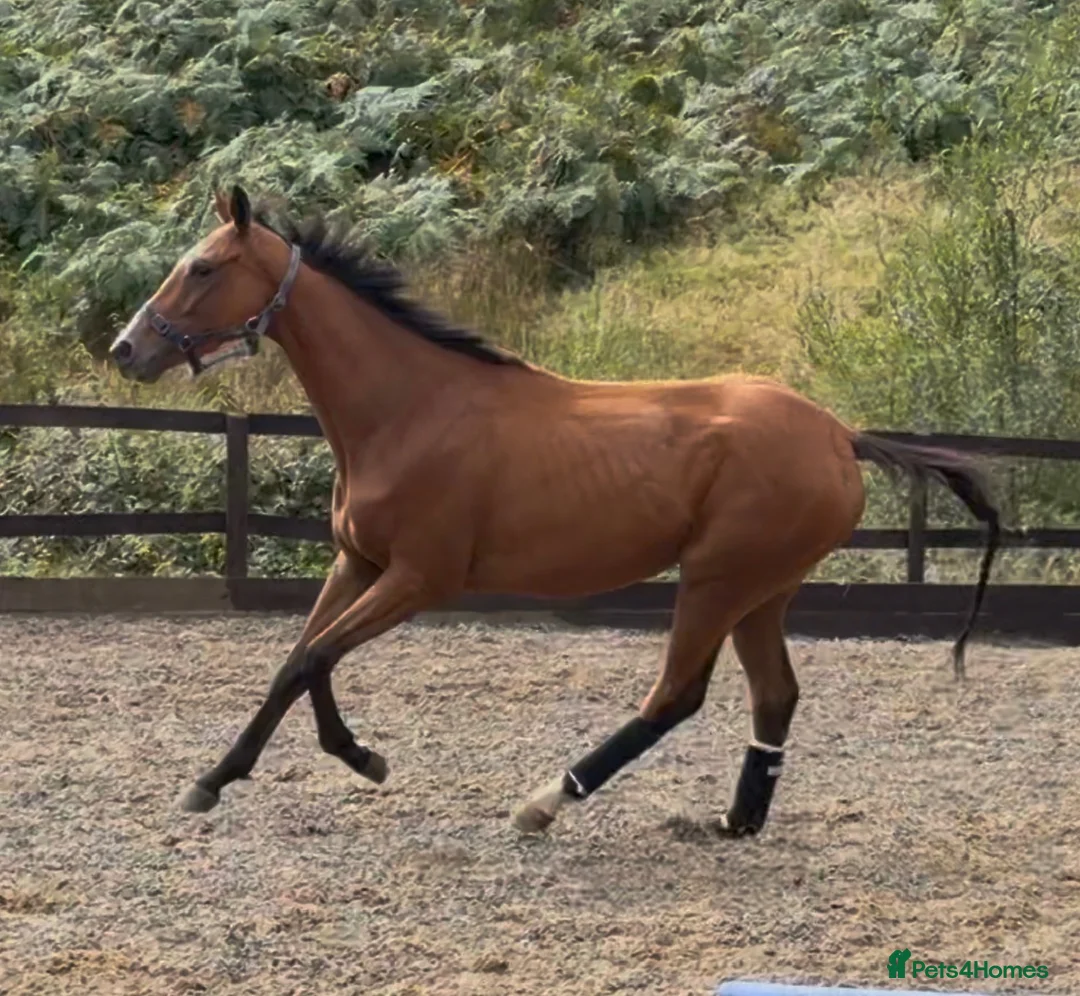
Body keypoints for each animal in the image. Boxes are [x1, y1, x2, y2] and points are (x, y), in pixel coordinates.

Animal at [108, 185, 1001, 837]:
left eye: (202, 268)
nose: (126, 350)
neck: (409, 409)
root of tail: (841, 434)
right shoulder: (357, 563)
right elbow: (296, 661)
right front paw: (218, 779)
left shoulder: (419, 578)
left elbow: (314, 659)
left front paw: (359, 758)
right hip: (763, 592)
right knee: (773, 696)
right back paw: (733, 821)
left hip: (719, 579)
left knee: (675, 696)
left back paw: (545, 801)